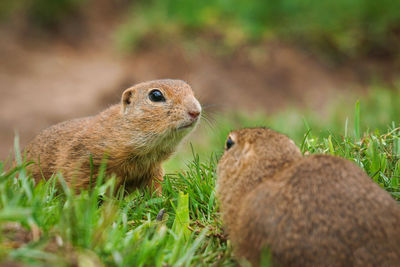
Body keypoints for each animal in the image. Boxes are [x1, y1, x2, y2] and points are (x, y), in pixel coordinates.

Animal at [23, 79, 202, 193]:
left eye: (190, 90)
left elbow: (154, 188)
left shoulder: (153, 169)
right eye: (155, 95)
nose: (196, 111)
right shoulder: (82, 162)